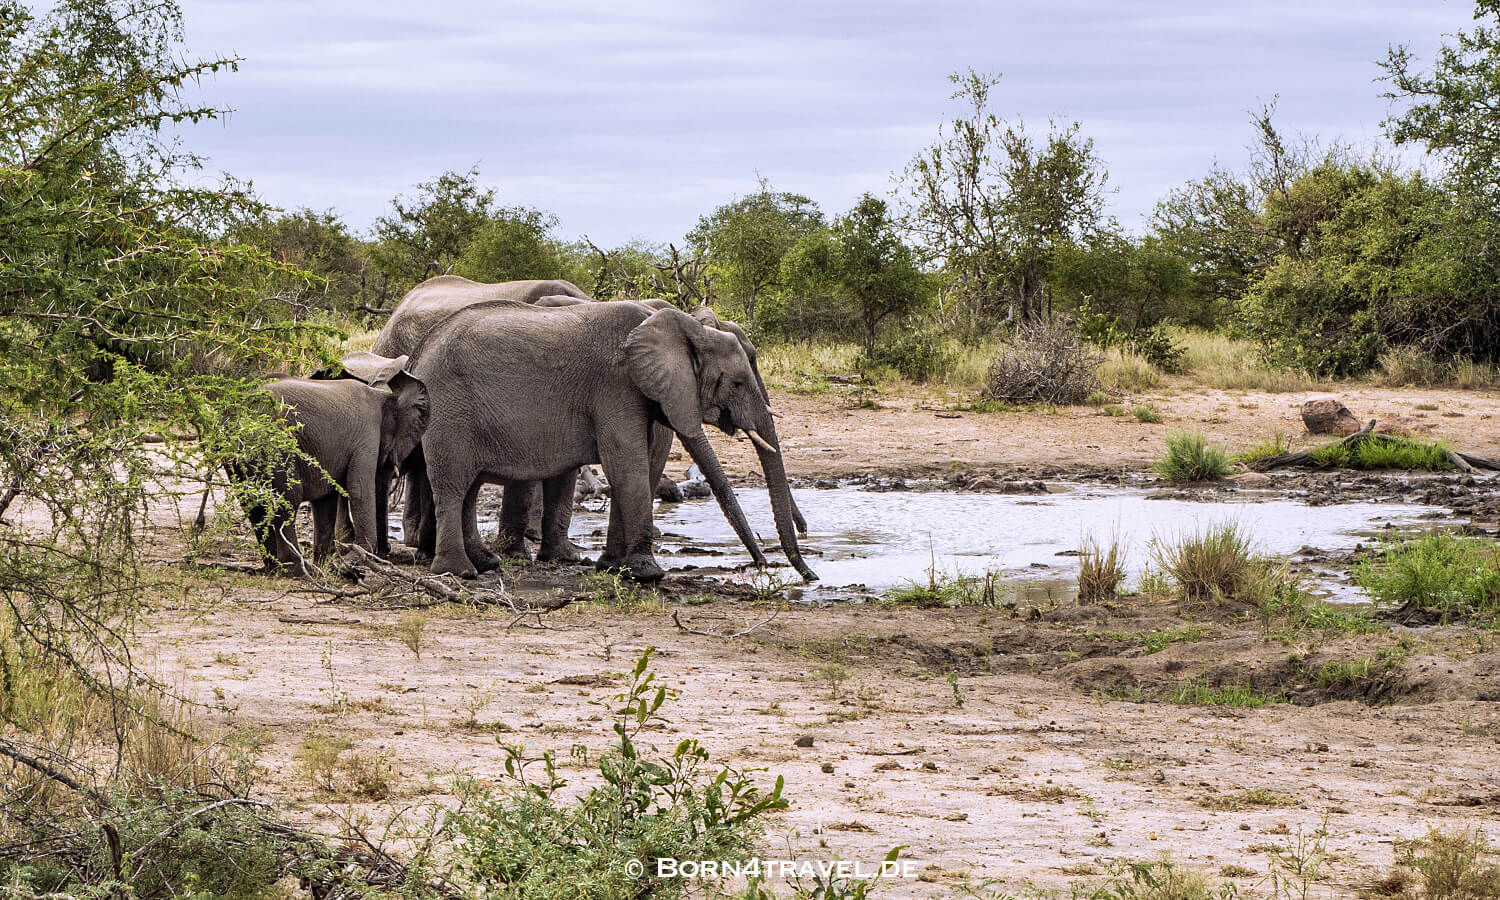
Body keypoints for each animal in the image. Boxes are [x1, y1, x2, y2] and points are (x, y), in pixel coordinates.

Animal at [232, 354, 428, 573]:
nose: (384, 553)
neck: (385, 395)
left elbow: (326, 499)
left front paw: (328, 564)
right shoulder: (367, 435)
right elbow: (359, 490)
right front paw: (351, 560)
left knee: (252, 504)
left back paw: (275, 568)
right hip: (274, 444)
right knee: (288, 499)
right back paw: (299, 572)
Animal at [410, 300, 815, 583]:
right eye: (738, 382)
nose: (764, 565)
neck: (680, 326)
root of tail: (419, 354)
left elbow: (632, 468)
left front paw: (613, 568)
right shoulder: (615, 388)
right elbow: (627, 466)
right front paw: (649, 574)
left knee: (469, 489)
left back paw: (485, 563)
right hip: (451, 410)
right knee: (453, 485)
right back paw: (460, 572)